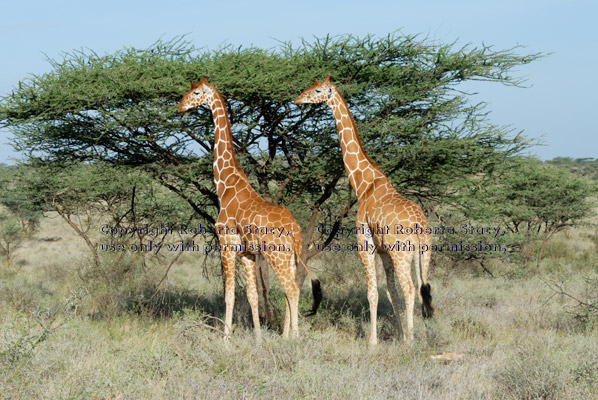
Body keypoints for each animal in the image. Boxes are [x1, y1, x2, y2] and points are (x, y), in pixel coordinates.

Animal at [177, 77, 322, 338]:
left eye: (196, 93)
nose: (180, 106)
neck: (226, 185)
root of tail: (295, 231)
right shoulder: (247, 254)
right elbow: (253, 296)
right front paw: (258, 338)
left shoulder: (227, 245)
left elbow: (229, 296)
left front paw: (226, 339)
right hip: (290, 258)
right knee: (290, 291)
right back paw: (286, 336)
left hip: (277, 255)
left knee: (292, 290)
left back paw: (294, 338)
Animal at [296, 76, 434, 344]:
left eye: (317, 90)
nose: (297, 99)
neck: (364, 184)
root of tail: (419, 225)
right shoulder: (383, 251)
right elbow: (390, 292)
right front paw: (398, 334)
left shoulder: (365, 242)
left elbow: (373, 293)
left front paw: (373, 342)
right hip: (423, 254)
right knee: (424, 288)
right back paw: (414, 335)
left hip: (402, 253)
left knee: (410, 289)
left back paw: (412, 342)